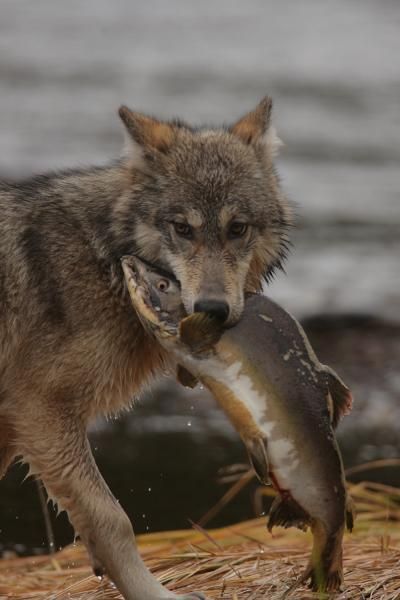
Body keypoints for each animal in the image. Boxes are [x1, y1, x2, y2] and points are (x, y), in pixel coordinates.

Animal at [0, 96, 294, 596]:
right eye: (183, 229)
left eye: (237, 229)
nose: (212, 309)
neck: (104, 258)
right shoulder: (40, 412)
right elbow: (112, 520)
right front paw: (156, 593)